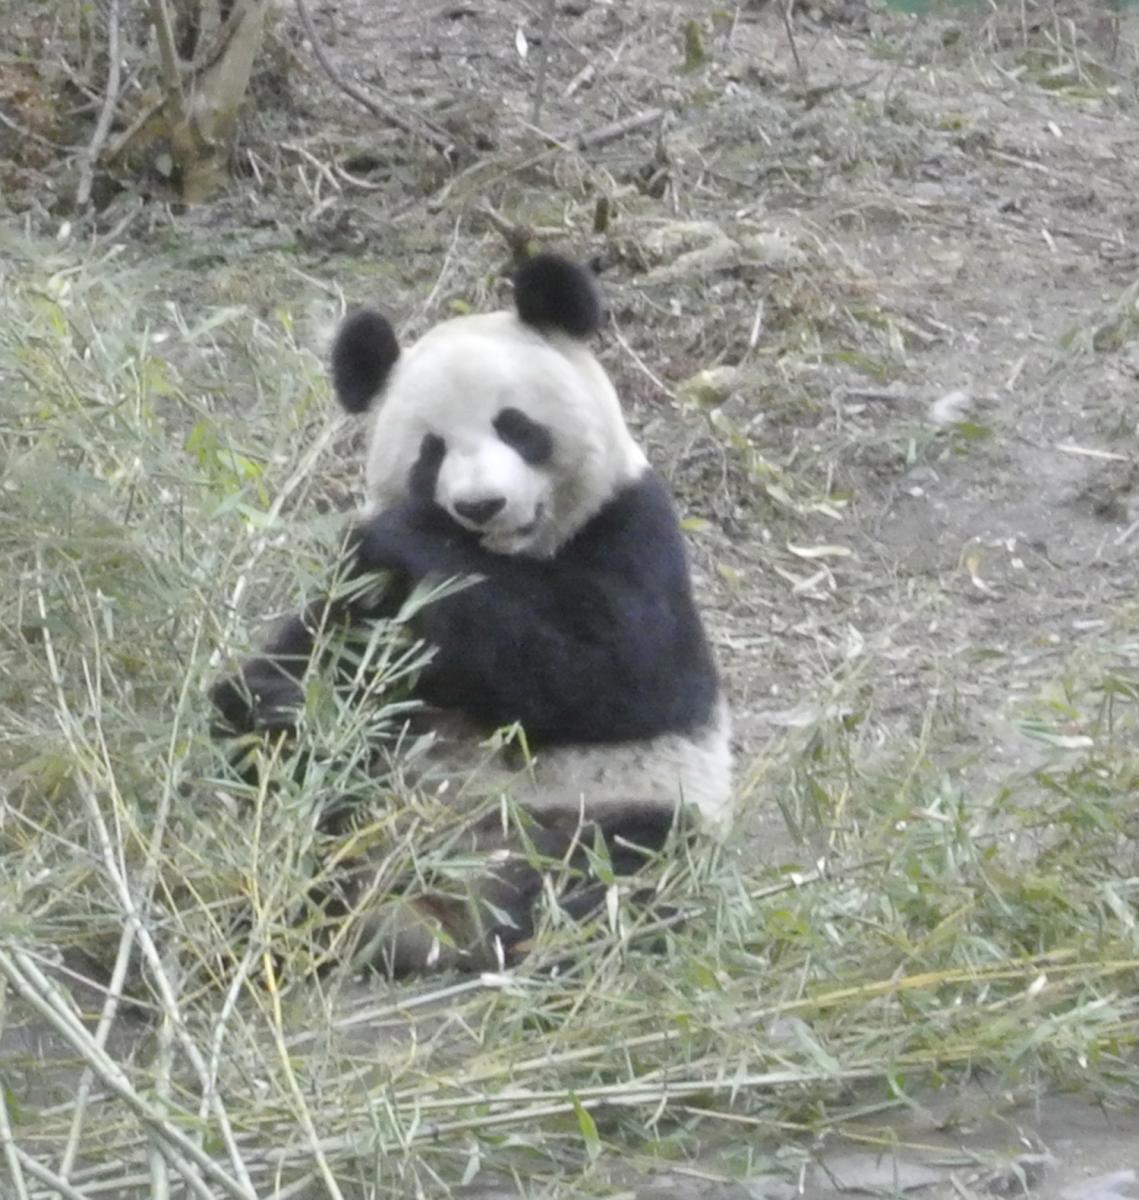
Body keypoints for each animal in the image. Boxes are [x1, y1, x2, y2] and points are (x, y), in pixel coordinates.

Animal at [211, 253, 732, 976]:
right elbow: (316, 649)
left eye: (515, 426)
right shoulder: (365, 596)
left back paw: (541, 941)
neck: (507, 556)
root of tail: (433, 905)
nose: (481, 505)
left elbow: (612, 674)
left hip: (611, 805)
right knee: (293, 802)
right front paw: (272, 698)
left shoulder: (632, 531)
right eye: (432, 450)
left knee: (614, 867)